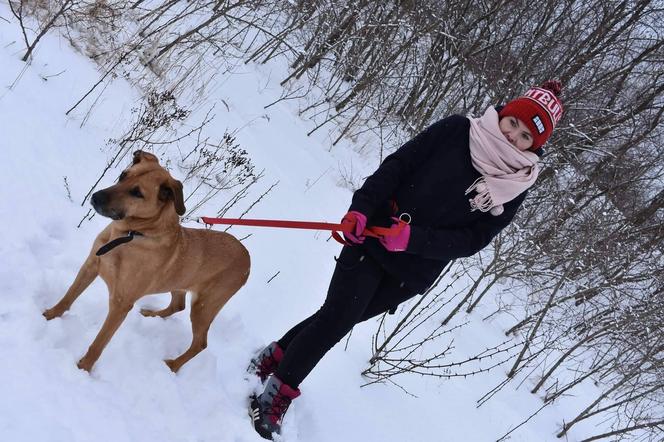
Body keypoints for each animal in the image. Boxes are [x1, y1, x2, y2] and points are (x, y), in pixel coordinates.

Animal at [42, 152, 249, 372]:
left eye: (137, 192)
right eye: (123, 175)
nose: (95, 197)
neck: (130, 235)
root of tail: (247, 258)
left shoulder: (121, 303)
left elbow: (100, 342)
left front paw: (84, 368)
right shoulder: (91, 265)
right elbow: (68, 297)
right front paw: (50, 315)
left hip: (204, 306)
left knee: (200, 343)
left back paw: (173, 365)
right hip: (178, 283)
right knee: (178, 305)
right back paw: (152, 315)